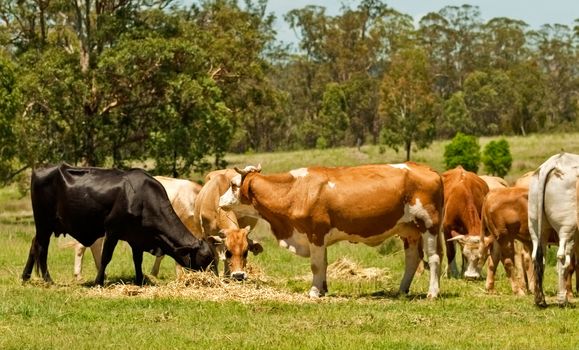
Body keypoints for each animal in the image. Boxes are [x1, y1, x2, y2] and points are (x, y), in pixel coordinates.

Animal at [21, 163, 215, 286]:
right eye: (205, 259)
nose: (211, 279)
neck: (143, 199)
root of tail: (40, 170)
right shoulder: (112, 231)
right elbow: (106, 257)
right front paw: (99, 281)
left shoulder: (137, 237)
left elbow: (138, 259)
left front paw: (140, 280)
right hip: (44, 224)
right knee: (41, 248)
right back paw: (47, 280)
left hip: (45, 226)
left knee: (33, 245)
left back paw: (26, 277)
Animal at [219, 163, 444, 298]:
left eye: (233, 184)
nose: (220, 200)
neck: (295, 191)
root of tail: (428, 169)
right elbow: (324, 264)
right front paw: (323, 289)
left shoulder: (316, 233)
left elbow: (316, 266)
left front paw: (314, 291)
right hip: (409, 231)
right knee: (412, 259)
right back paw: (401, 291)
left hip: (429, 225)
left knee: (433, 258)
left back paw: (432, 293)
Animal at [532, 153, 579, 306]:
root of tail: (555, 161)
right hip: (567, 228)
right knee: (562, 258)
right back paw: (562, 299)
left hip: (536, 227)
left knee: (538, 257)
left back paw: (540, 299)